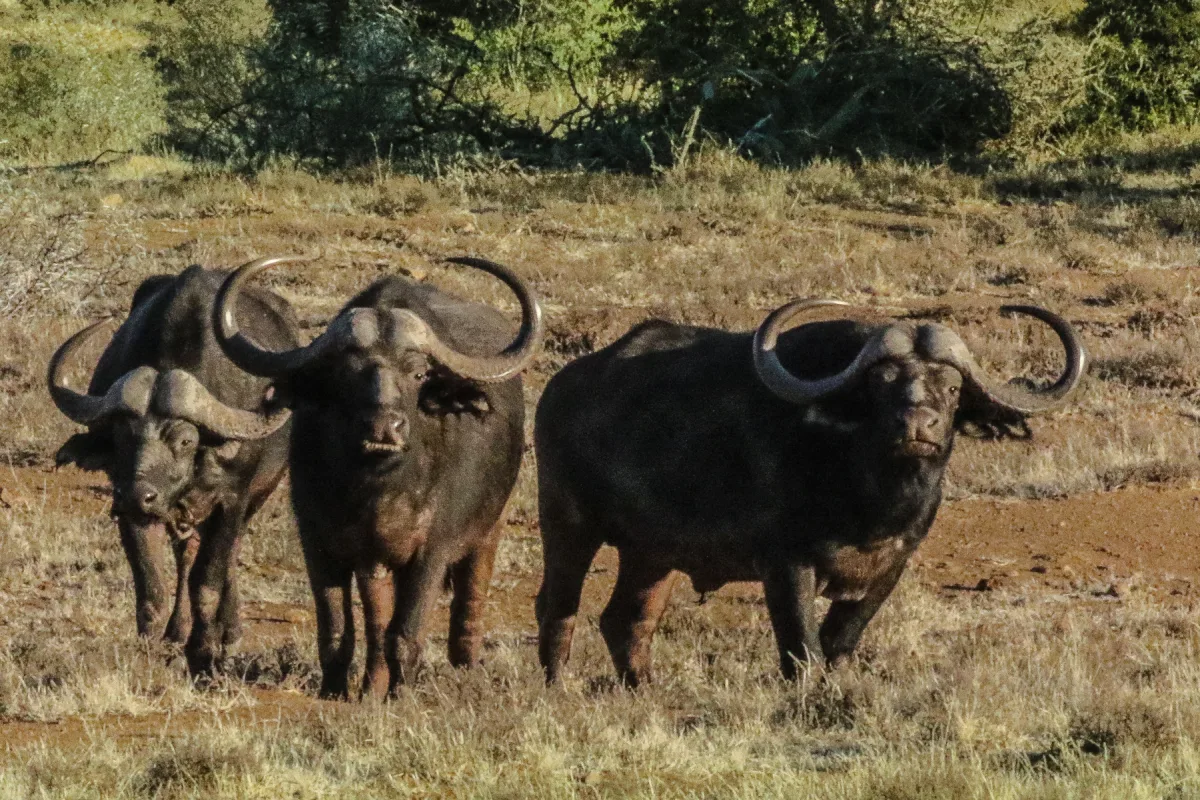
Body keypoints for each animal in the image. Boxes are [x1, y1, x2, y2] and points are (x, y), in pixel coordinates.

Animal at [48, 263, 299, 675]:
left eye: (184, 441)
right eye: (122, 437)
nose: (139, 495)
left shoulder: (232, 500)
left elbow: (208, 581)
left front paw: (205, 652)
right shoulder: (131, 512)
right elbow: (151, 586)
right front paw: (150, 649)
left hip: (254, 498)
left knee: (228, 554)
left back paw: (229, 630)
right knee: (184, 554)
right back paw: (178, 631)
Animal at [213, 256, 543, 698]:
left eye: (419, 374)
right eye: (347, 372)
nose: (385, 427)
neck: (378, 490)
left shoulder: (432, 551)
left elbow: (406, 632)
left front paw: (401, 694)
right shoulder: (323, 546)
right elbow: (340, 629)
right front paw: (336, 690)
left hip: (490, 530)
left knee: (468, 602)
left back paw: (464, 669)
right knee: (376, 624)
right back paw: (372, 685)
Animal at [534, 300, 1084, 685]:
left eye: (951, 389)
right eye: (881, 383)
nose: (916, 424)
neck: (869, 501)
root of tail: (563, 386)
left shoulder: (889, 569)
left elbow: (838, 645)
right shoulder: (785, 567)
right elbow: (801, 651)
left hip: (651, 553)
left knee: (627, 620)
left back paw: (643, 687)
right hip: (567, 523)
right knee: (558, 604)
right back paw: (558, 685)